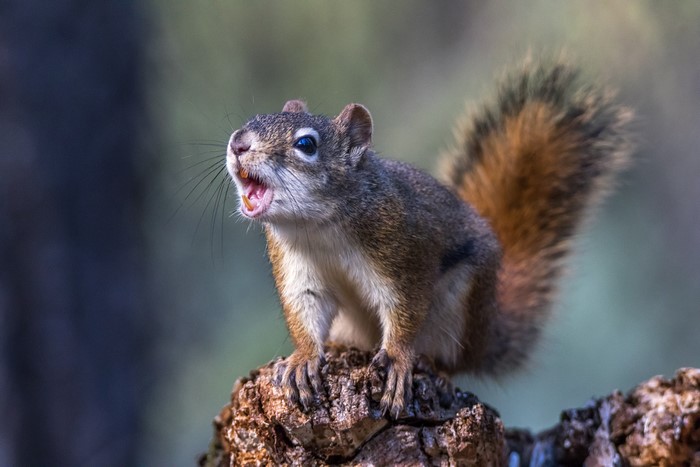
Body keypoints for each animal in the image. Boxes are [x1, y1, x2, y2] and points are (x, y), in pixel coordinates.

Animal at [225, 58, 632, 418]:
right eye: (253, 122)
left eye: (307, 145)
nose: (238, 143)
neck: (318, 226)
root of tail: (486, 333)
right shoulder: (297, 266)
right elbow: (305, 308)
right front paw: (304, 358)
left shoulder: (405, 253)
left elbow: (405, 308)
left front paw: (398, 359)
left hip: (460, 306)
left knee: (452, 361)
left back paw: (437, 370)